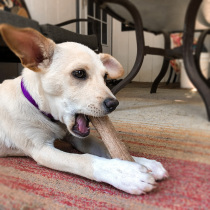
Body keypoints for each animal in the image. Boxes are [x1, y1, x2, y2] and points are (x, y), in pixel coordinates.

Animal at [0, 24, 167, 195]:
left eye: (105, 77)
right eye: (79, 73)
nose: (114, 104)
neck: (37, 106)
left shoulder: (76, 137)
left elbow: (104, 146)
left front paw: (143, 163)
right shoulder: (40, 149)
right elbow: (84, 159)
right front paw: (126, 173)